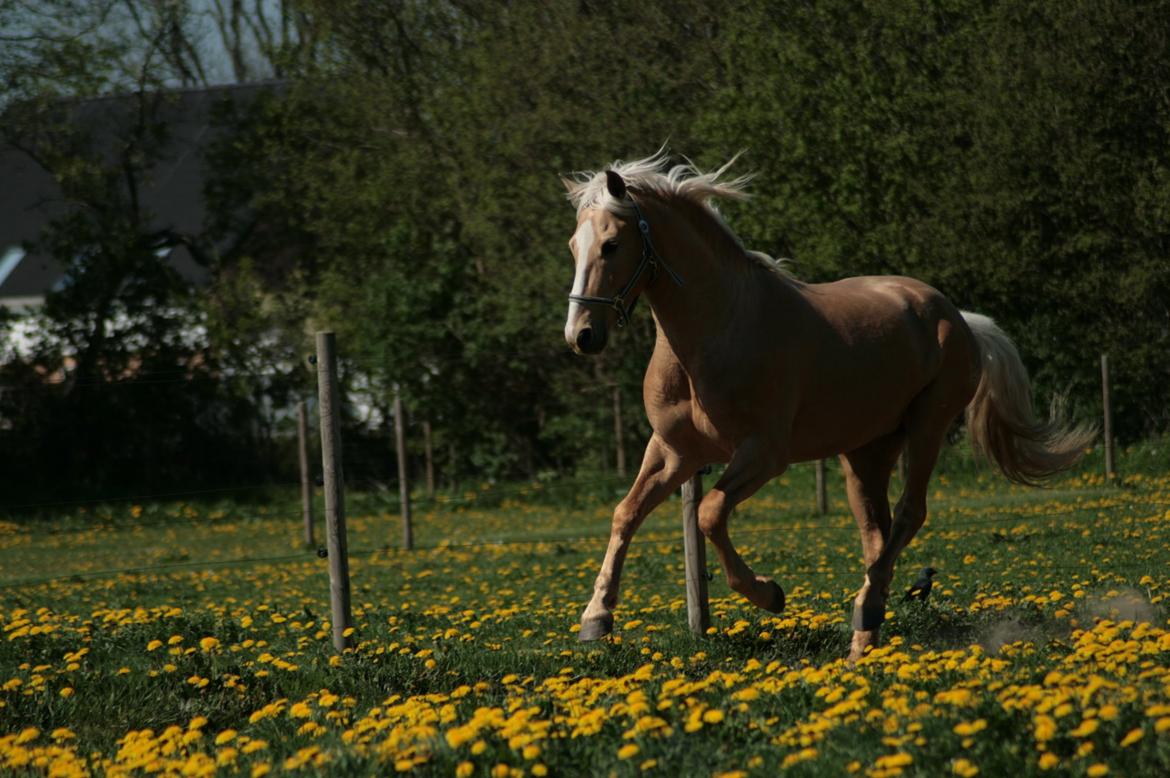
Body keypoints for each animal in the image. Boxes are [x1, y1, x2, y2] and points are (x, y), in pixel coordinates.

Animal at [561, 153, 1090, 659]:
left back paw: (866, 611)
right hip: (865, 452)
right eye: (572, 246)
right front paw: (596, 619)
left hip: (928, 427)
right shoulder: (675, 451)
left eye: (611, 245)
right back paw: (862, 639)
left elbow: (709, 512)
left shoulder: (764, 453)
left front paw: (769, 594)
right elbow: (625, 513)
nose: (581, 335)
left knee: (909, 514)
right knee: (876, 533)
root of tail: (958, 317)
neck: (720, 329)